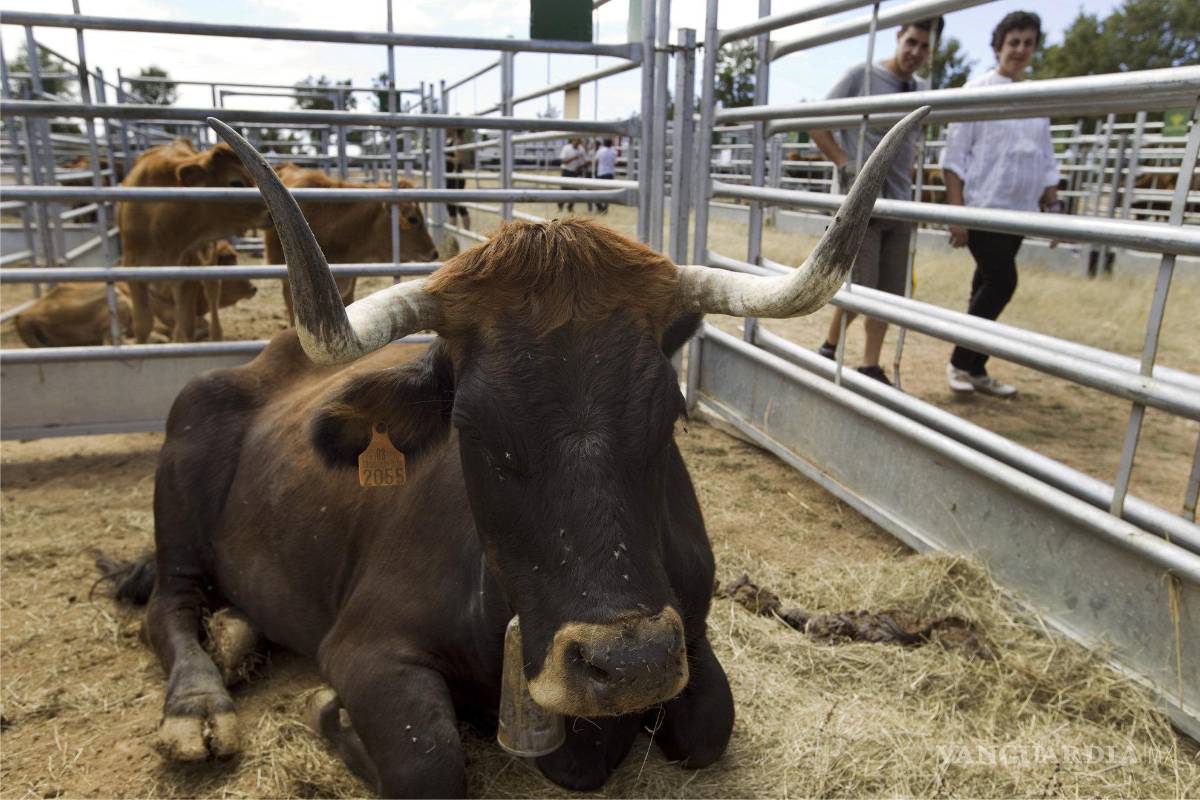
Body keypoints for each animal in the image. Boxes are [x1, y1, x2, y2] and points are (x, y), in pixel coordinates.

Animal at [117, 137, 266, 343]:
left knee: (212, 291)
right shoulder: (134, 271)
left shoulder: (187, 274)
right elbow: (144, 324)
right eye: (236, 183)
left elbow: (186, 325)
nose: (269, 211)